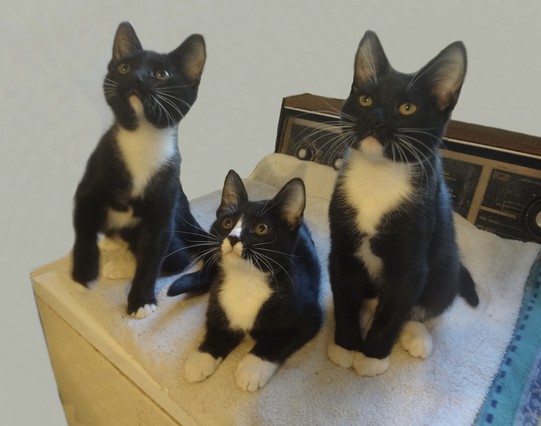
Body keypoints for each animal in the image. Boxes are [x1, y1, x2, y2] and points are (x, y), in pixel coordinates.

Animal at [70, 21, 206, 318]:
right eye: (124, 68)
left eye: (161, 74)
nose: (136, 78)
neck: (141, 138)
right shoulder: (90, 182)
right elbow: (83, 226)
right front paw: (84, 270)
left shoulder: (163, 211)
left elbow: (152, 258)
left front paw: (141, 300)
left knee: (176, 261)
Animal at [169, 171, 320, 392]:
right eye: (227, 223)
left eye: (261, 228)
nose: (233, 238)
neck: (245, 279)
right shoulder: (217, 302)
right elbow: (216, 329)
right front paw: (201, 359)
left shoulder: (308, 314)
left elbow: (275, 341)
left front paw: (252, 369)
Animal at [326, 30, 478, 376]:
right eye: (365, 99)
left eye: (407, 108)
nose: (374, 118)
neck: (378, 177)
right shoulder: (340, 249)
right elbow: (344, 296)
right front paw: (346, 345)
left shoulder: (412, 260)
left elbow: (396, 308)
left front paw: (372, 356)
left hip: (445, 263)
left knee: (423, 305)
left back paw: (416, 335)